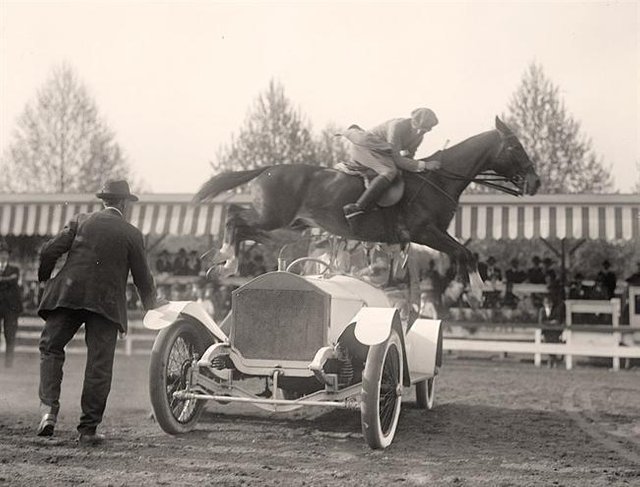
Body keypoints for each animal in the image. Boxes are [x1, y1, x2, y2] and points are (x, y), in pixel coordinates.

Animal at [194, 117, 540, 298]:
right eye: (515, 147)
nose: (535, 183)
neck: (439, 178)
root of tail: (268, 169)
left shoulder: (432, 235)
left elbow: (462, 255)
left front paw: (467, 290)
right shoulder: (425, 232)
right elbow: (466, 253)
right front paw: (479, 292)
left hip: (289, 227)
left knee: (243, 226)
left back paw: (224, 264)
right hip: (273, 217)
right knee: (234, 219)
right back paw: (226, 259)